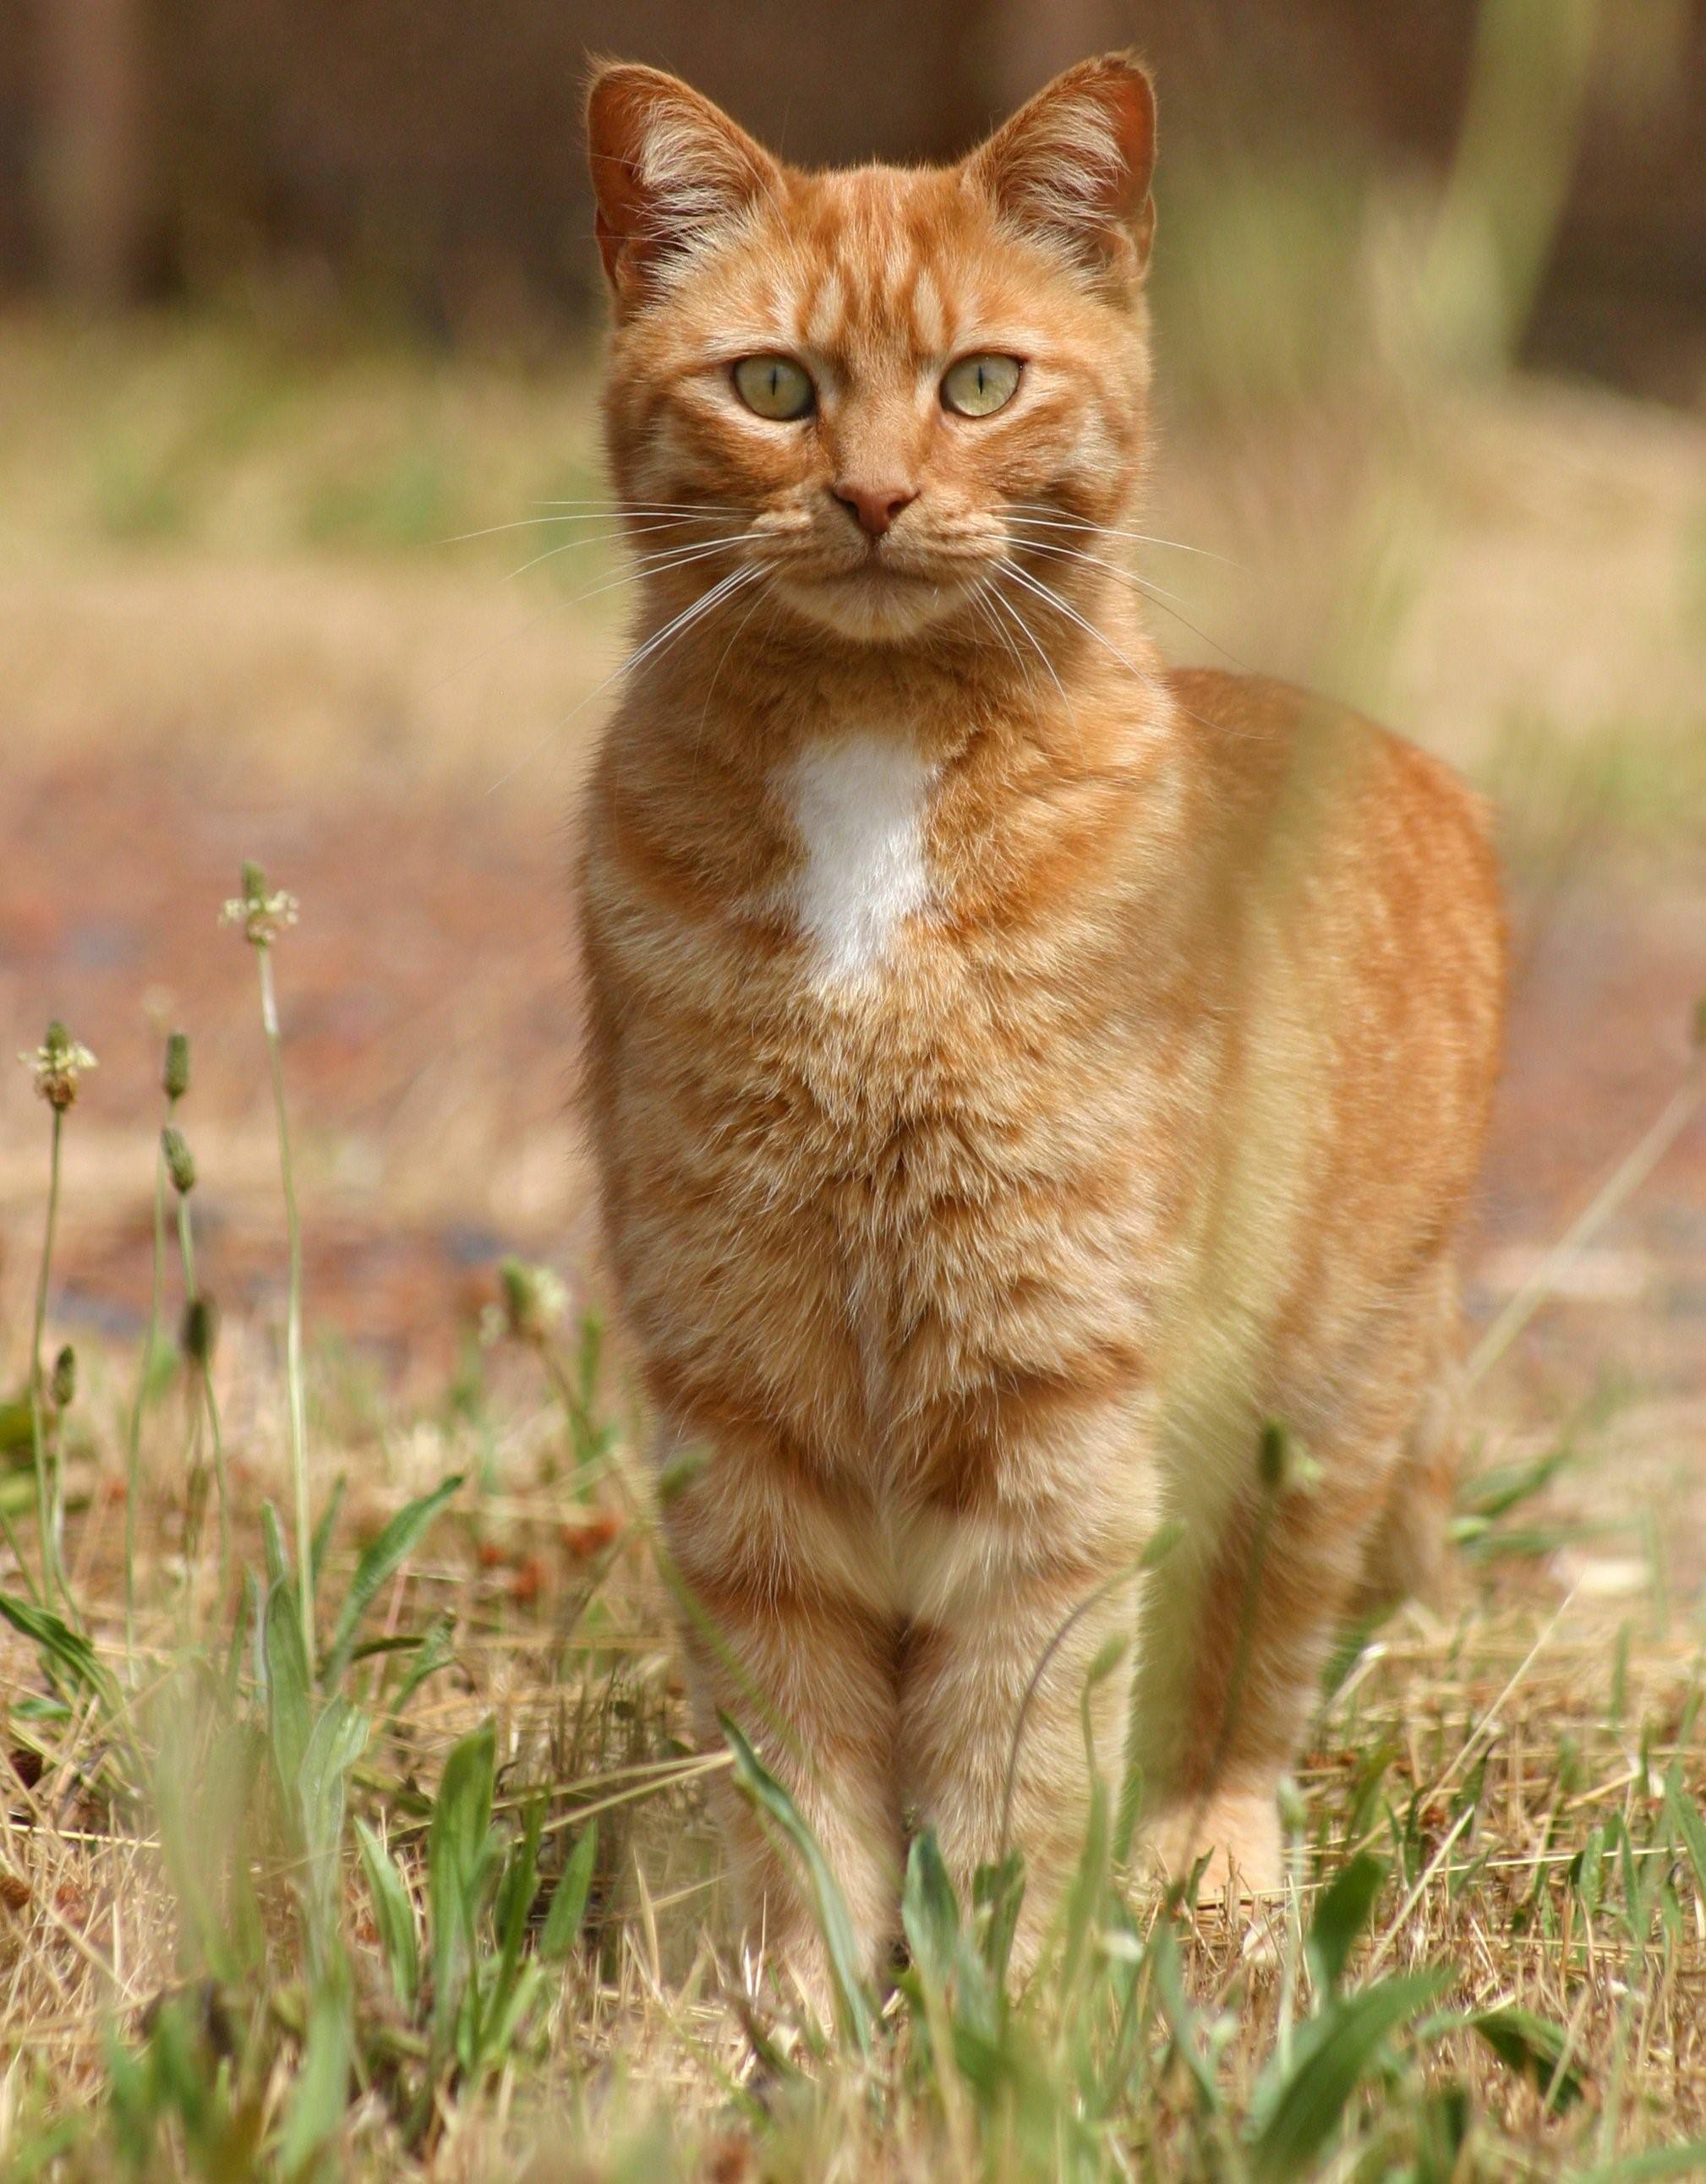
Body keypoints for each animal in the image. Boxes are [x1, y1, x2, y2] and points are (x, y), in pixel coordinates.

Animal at [581, 51, 1494, 2000]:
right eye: (773, 387)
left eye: (978, 383)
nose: (868, 495)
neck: (869, 770)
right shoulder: (738, 1392)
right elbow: (796, 1752)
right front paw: (804, 2000)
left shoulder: (1054, 1397)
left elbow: (1013, 1740)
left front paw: (994, 2005)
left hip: (1318, 1420)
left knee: (1237, 1690)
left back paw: (1205, 1865)